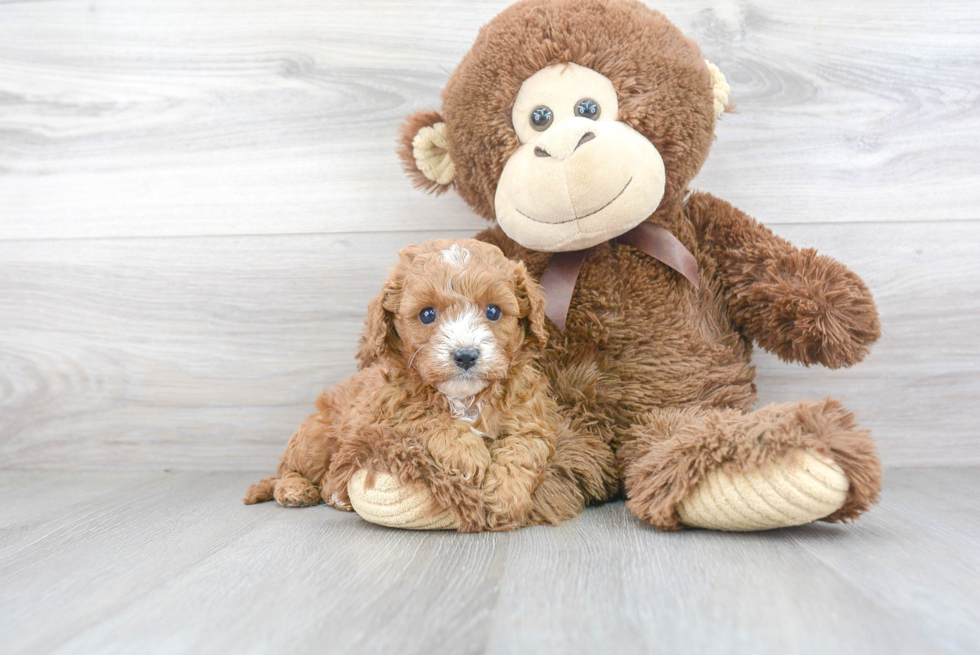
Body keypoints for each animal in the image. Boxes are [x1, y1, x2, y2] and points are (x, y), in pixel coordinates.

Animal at [243, 238, 560, 532]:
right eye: (427, 314)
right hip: (316, 439)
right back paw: (296, 490)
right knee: (289, 471)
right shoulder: (382, 413)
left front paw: (506, 496)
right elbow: (423, 415)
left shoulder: (529, 418)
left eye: (493, 312)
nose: (466, 355)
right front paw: (466, 453)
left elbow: (522, 450)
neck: (462, 398)